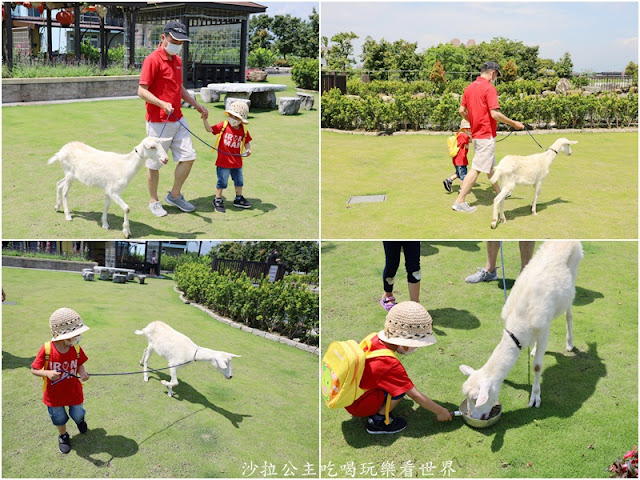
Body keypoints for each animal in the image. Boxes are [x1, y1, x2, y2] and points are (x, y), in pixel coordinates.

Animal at [460, 242, 584, 418]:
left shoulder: (544, 329)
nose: (471, 416)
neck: (519, 325)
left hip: (573, 277)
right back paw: (534, 349)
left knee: (569, 315)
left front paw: (535, 398)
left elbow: (537, 366)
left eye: (477, 399)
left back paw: (569, 344)